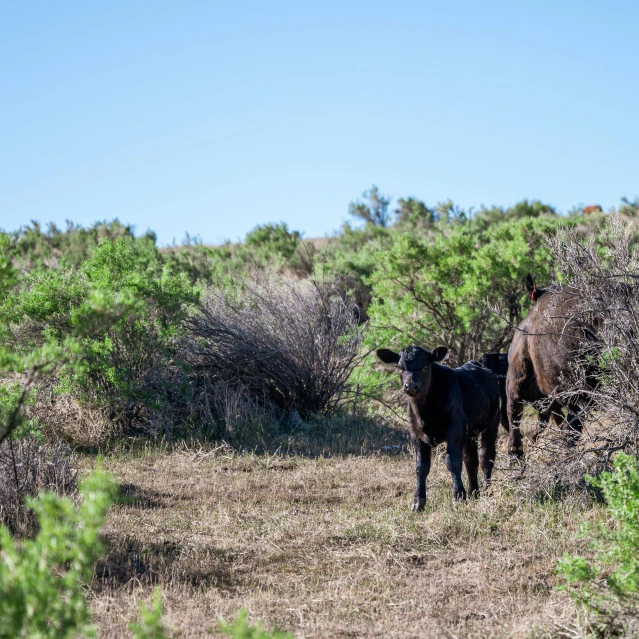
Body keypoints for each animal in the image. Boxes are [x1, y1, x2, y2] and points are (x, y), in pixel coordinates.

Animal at [378, 344, 502, 510]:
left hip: (492, 424)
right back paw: (474, 493)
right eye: (399, 368)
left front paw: (458, 496)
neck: (425, 412)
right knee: (471, 460)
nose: (411, 386)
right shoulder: (417, 435)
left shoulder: (454, 432)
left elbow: (453, 462)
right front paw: (418, 502)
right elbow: (421, 467)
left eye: (425, 366)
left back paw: (487, 491)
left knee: (486, 457)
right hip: (469, 434)